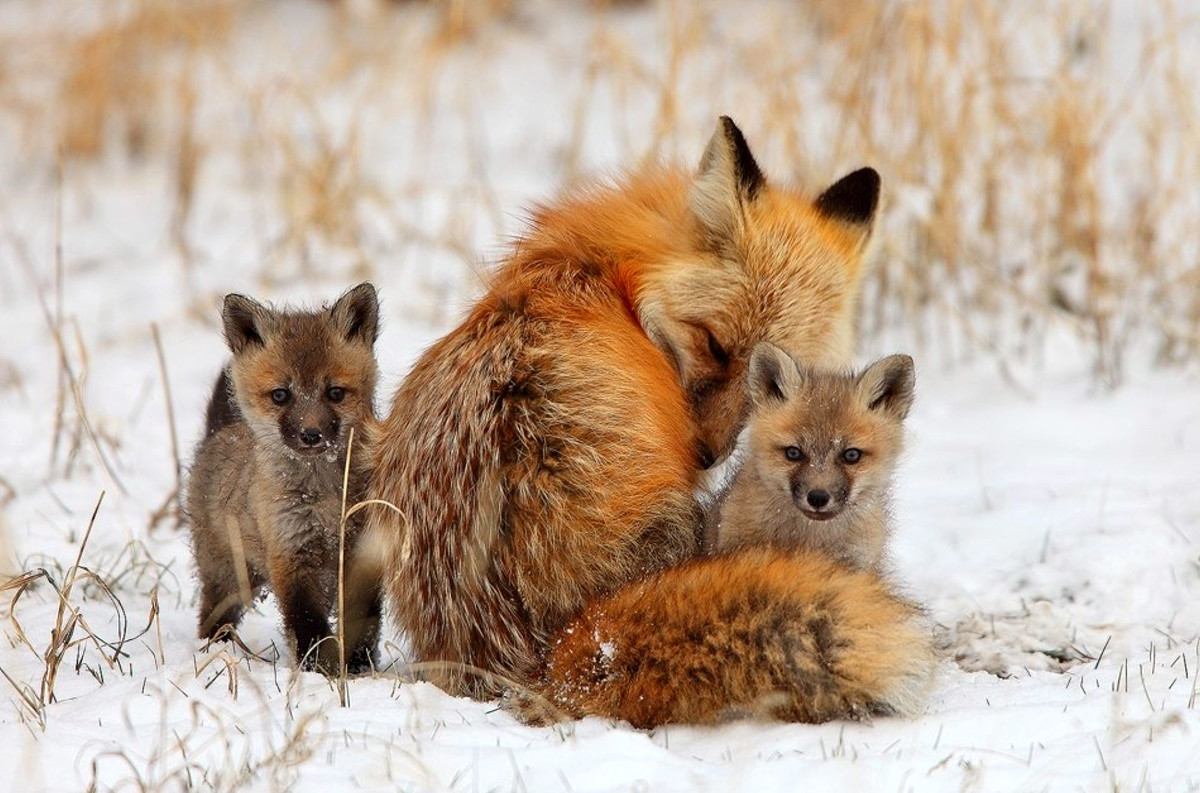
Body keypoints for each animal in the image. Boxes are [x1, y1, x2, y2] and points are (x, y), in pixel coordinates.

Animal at [186, 281, 379, 671]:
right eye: (280, 395)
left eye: (335, 393)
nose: (311, 435)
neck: (325, 501)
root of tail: (219, 434)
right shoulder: (290, 554)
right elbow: (308, 624)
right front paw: (318, 671)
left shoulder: (362, 551)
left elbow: (364, 620)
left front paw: (359, 667)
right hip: (229, 579)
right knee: (213, 619)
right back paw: (217, 653)